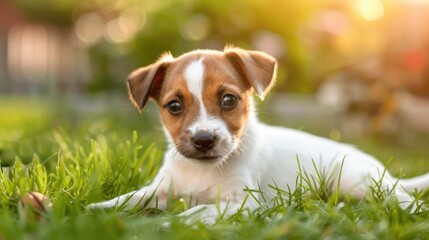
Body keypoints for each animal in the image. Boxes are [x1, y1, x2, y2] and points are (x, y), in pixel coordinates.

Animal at [87, 46, 428, 223]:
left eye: (228, 100)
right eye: (174, 106)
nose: (203, 140)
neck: (201, 171)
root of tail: (383, 172)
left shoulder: (243, 202)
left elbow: (199, 210)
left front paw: (171, 223)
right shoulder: (160, 189)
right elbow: (130, 198)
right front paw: (92, 210)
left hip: (354, 180)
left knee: (404, 199)